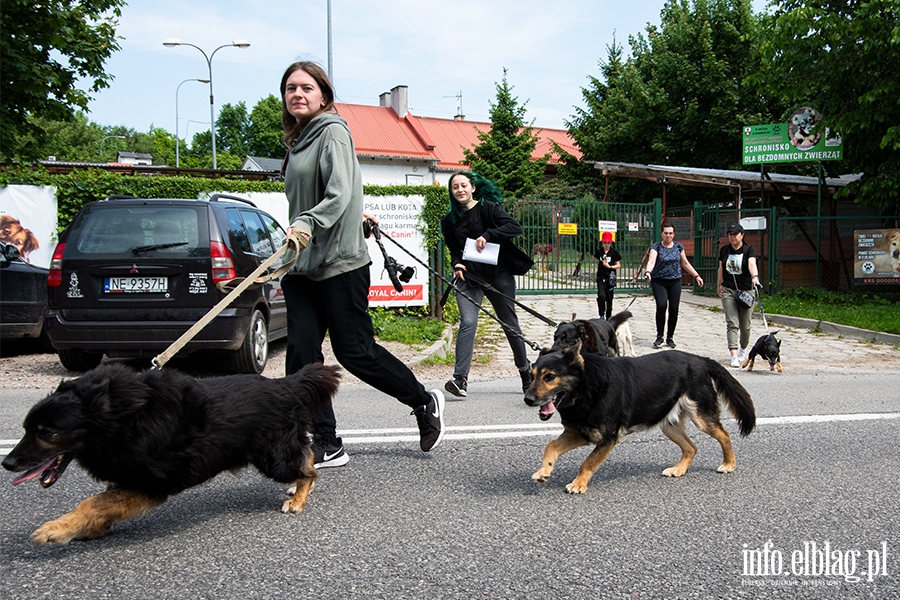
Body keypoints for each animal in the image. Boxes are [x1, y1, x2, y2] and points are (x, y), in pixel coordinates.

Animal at [2, 360, 342, 544]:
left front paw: (56, 529)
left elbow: (94, 502)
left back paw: (298, 498)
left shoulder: (151, 483)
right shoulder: (128, 475)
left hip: (272, 458)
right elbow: (103, 503)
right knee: (306, 457)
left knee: (308, 469)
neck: (120, 417)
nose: (7, 463)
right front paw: (87, 528)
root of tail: (284, 384)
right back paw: (296, 489)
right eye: (26, 428)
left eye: (46, 433)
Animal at [524, 344, 756, 494]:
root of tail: (700, 359)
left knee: (724, 435)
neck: (586, 386)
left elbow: (588, 463)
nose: (528, 399)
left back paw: (728, 464)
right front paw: (544, 471)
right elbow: (551, 446)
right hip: (669, 425)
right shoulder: (581, 433)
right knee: (691, 447)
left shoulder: (607, 438)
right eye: (531, 376)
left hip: (701, 417)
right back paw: (679, 469)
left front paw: (579, 484)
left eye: (550, 377)